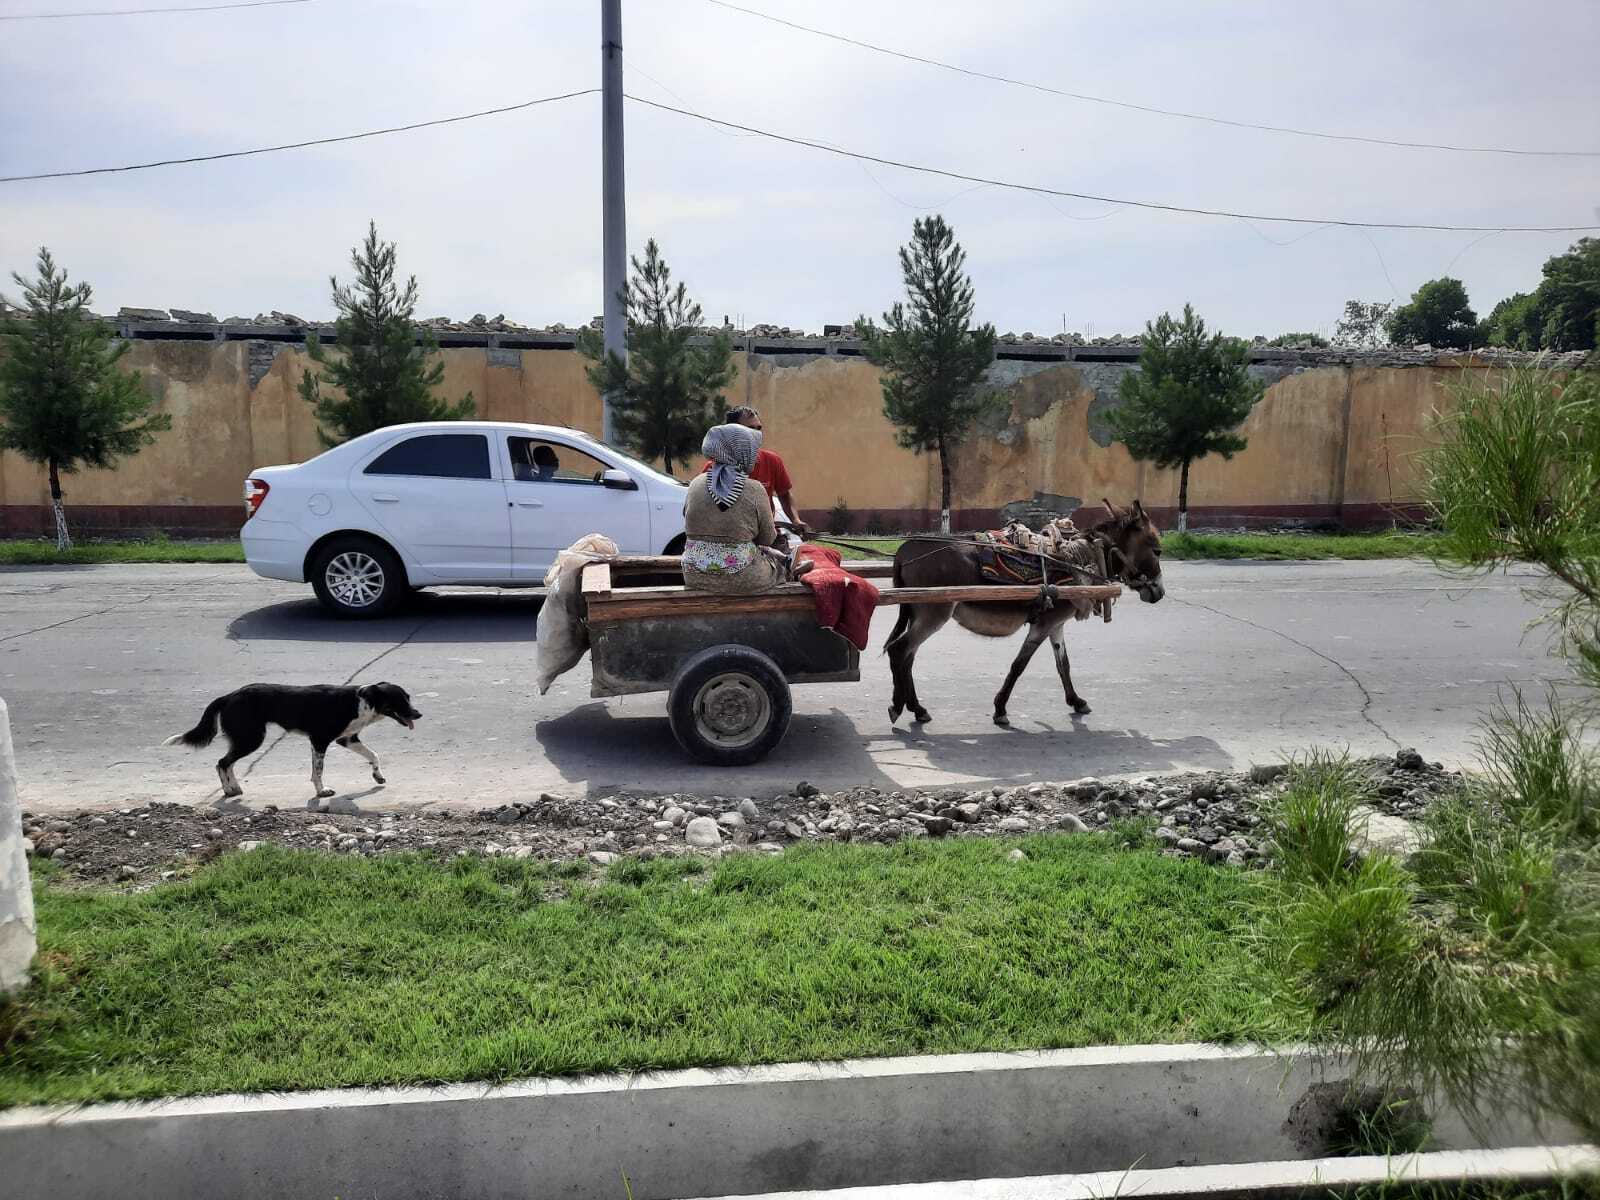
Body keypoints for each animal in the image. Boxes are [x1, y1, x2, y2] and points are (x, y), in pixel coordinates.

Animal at [164, 684, 419, 800]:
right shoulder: (319, 741)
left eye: (408, 697)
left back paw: (233, 789)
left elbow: (373, 755)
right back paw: (229, 789)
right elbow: (318, 770)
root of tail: (228, 696)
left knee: (226, 763)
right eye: (400, 700)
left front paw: (378, 776)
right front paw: (322, 791)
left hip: (245, 738)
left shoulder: (347, 739)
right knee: (222, 762)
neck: (361, 702)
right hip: (251, 738)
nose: (419, 714)